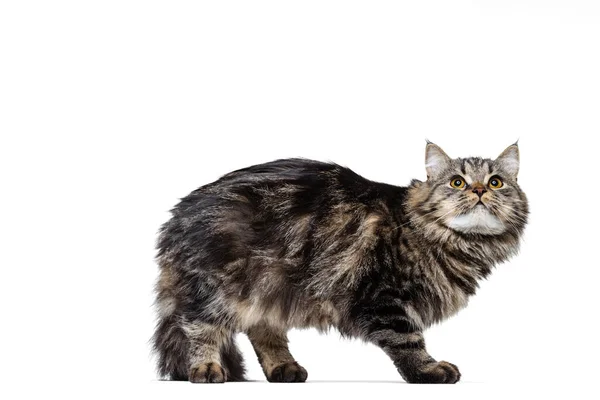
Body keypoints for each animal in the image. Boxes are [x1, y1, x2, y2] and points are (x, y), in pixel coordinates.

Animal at [152, 143, 528, 384]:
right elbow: (409, 340)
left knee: (263, 331)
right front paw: (427, 371)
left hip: (268, 287)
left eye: (496, 182)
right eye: (457, 182)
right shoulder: (383, 297)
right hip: (221, 287)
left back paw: (284, 369)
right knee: (197, 325)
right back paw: (207, 370)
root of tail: (178, 215)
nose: (479, 190)